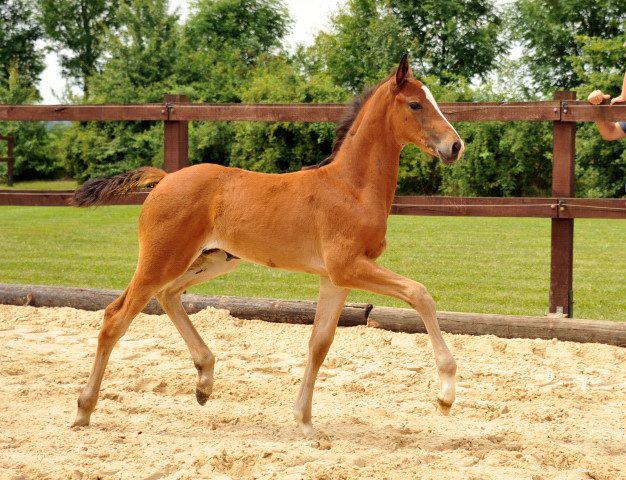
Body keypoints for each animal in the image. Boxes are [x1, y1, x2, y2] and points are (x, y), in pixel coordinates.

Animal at [72, 56, 464, 436]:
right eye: (415, 104)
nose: (456, 146)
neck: (351, 188)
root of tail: (165, 179)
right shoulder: (348, 266)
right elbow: (419, 294)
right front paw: (446, 393)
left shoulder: (335, 278)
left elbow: (320, 343)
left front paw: (304, 421)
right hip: (162, 259)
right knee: (116, 317)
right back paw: (84, 410)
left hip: (214, 260)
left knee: (168, 295)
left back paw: (204, 381)